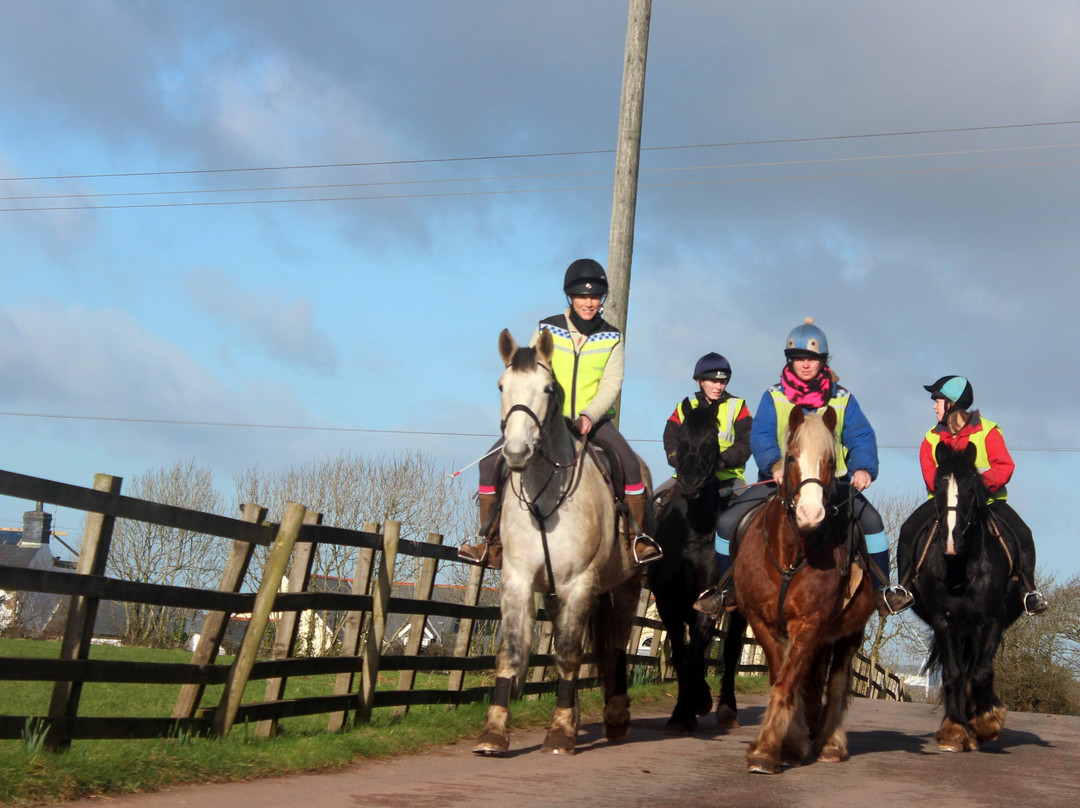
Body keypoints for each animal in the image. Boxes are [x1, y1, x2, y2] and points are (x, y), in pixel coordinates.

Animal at [475, 330, 643, 756]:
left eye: (548, 388)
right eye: (501, 386)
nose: (516, 452)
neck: (545, 494)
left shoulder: (579, 582)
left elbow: (569, 655)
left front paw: (562, 731)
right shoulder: (518, 579)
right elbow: (513, 651)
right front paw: (494, 731)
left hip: (626, 584)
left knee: (615, 645)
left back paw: (615, 717)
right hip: (554, 594)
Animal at [643, 401, 747, 734]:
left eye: (712, 442)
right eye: (682, 438)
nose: (689, 483)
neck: (691, 533)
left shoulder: (708, 599)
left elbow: (694, 655)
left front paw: (685, 712)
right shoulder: (668, 601)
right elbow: (681, 654)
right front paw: (688, 708)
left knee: (731, 651)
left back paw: (727, 710)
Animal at [734, 406, 876, 773]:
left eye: (830, 460)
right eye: (792, 457)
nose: (810, 513)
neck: (791, 554)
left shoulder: (810, 622)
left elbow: (788, 682)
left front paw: (767, 749)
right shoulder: (762, 622)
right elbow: (781, 678)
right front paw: (791, 742)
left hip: (849, 634)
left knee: (837, 683)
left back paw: (831, 743)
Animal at [911, 442, 1019, 751]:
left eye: (971, 489)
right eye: (938, 486)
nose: (951, 541)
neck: (960, 568)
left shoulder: (990, 621)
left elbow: (982, 673)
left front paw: (987, 722)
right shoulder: (944, 621)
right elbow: (953, 674)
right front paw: (955, 730)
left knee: (976, 669)